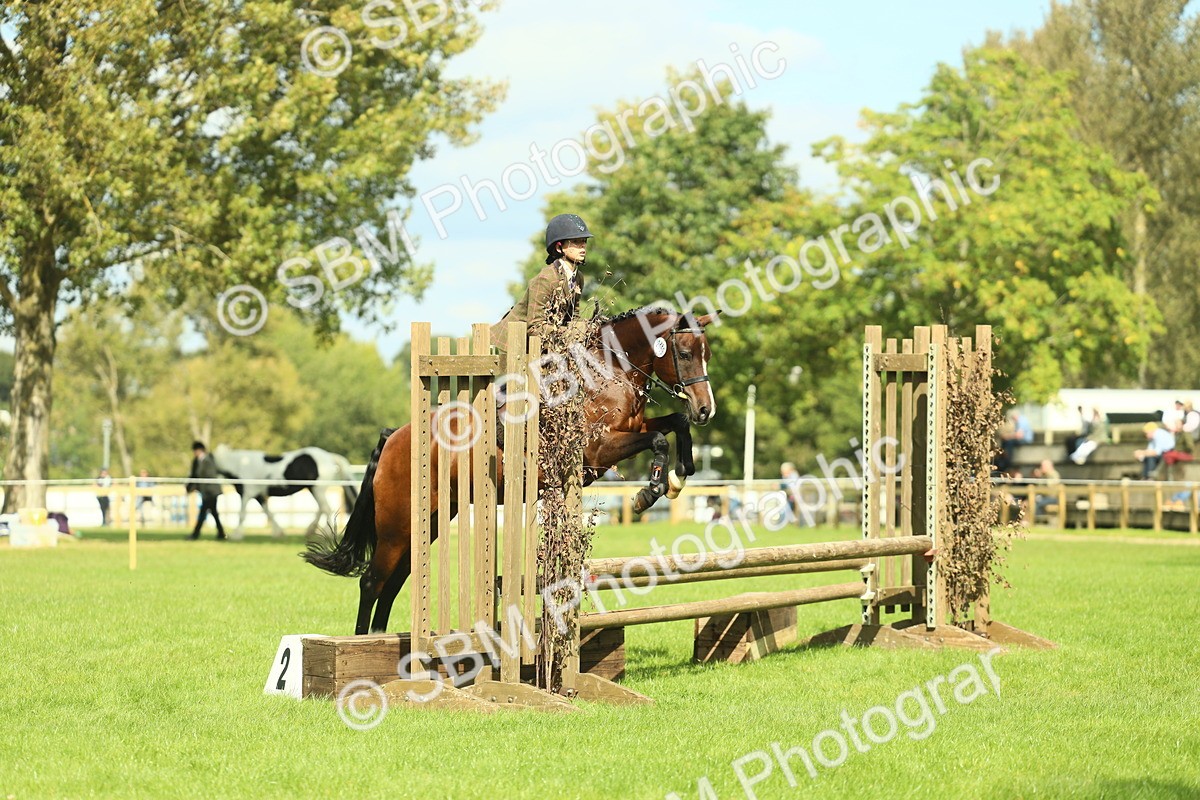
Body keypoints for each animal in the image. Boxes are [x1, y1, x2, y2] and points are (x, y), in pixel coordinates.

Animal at [211, 445, 360, 539]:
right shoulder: (258, 495)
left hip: (317, 489)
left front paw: (236, 535)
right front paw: (279, 532)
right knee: (322, 508)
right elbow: (268, 513)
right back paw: (311, 530)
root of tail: (329, 456)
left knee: (326, 508)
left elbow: (242, 515)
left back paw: (326, 532)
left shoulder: (246, 494)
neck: (240, 464)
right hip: (314, 489)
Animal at [303, 309, 718, 635]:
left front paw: (680, 477)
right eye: (684, 353)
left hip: (430, 520)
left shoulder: (631, 429)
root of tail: (394, 437)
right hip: (396, 524)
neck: (607, 373)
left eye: (707, 354)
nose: (706, 410)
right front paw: (651, 491)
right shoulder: (597, 450)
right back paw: (361, 645)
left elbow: (675, 424)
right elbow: (659, 441)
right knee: (372, 582)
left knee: (395, 582)